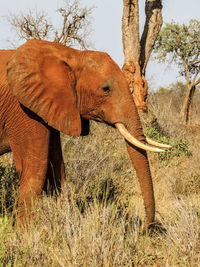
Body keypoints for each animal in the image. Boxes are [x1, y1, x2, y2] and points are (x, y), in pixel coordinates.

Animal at [0, 39, 170, 228]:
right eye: (105, 89)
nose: (143, 228)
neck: (71, 55)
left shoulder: (50, 105)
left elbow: (56, 167)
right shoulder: (23, 108)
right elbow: (34, 168)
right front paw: (26, 232)